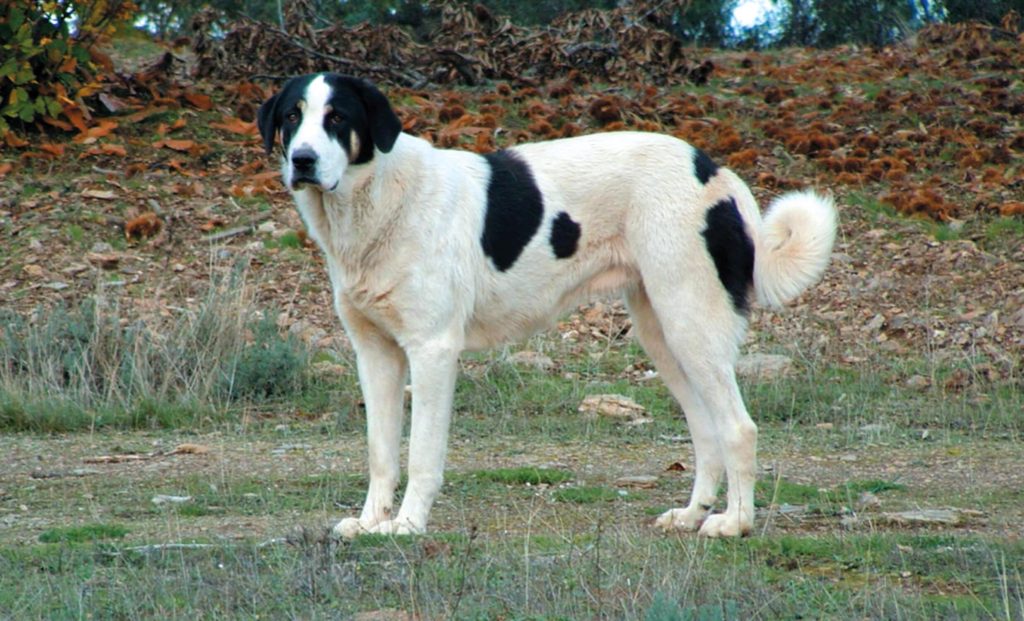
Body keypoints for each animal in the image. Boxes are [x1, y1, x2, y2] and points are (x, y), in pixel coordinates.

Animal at [258, 72, 839, 541]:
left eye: (337, 118)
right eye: (292, 116)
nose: (302, 160)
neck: (376, 199)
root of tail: (716, 170)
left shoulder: (432, 351)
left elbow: (422, 455)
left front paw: (406, 525)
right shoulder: (376, 355)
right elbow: (381, 455)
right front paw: (370, 522)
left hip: (691, 325)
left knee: (738, 428)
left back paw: (734, 523)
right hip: (665, 336)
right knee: (707, 430)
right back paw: (692, 514)